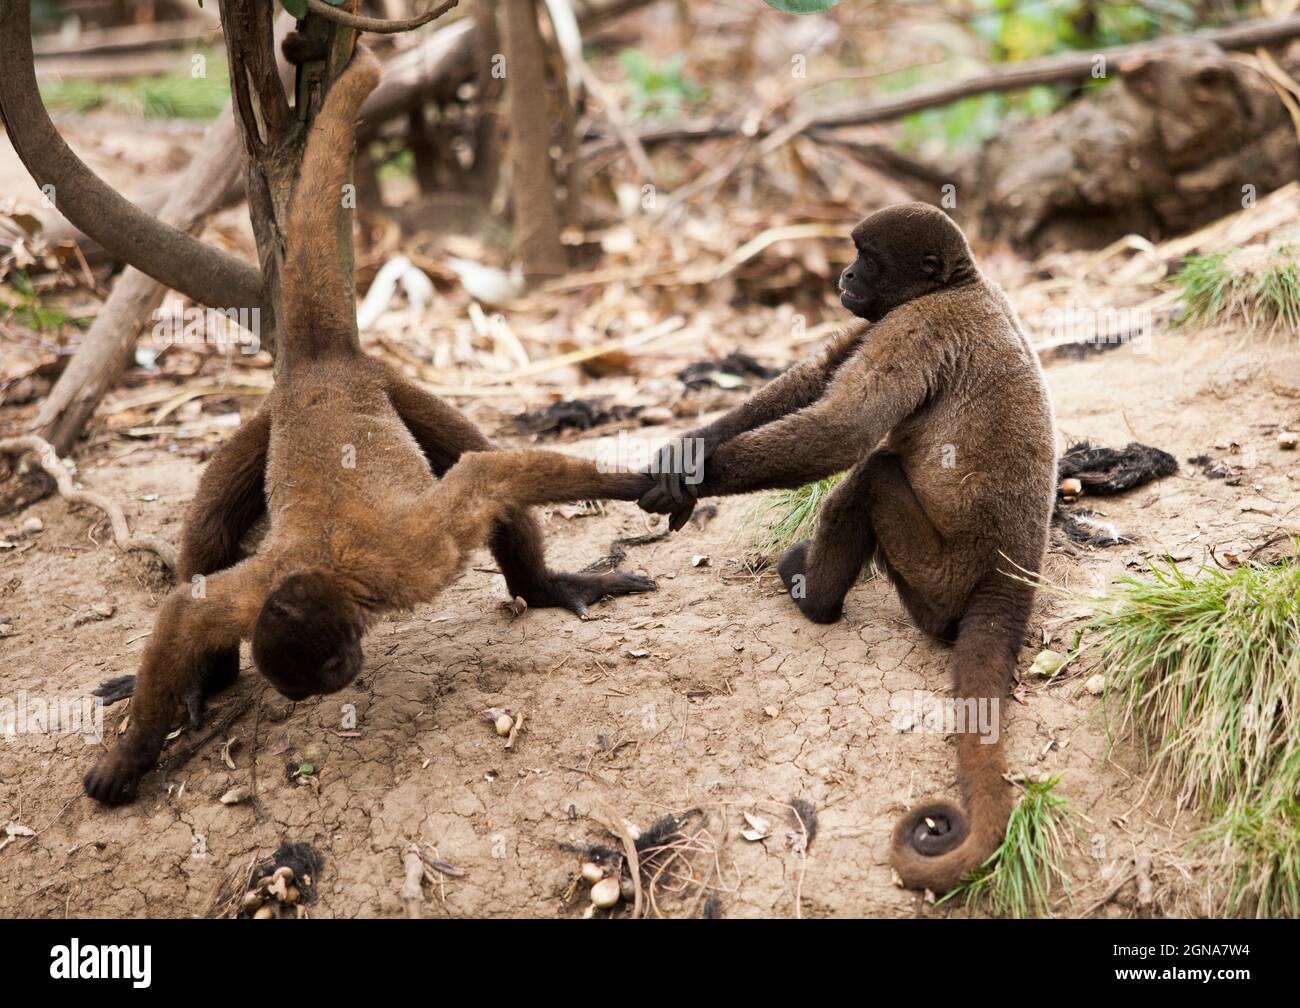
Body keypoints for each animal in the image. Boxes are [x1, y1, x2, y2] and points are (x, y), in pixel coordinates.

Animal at [83, 43, 650, 806]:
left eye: (325, 670)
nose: (335, 680)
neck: (333, 574)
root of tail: (322, 361)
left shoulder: (415, 558)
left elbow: (485, 476)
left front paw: (659, 481)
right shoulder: (257, 596)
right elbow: (187, 610)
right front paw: (130, 756)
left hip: (388, 382)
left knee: (469, 450)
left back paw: (542, 588)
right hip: (271, 415)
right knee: (208, 528)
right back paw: (210, 682)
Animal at [639, 202, 1055, 889]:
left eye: (868, 256)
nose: (845, 274)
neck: (956, 285)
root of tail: (1012, 573)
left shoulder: (913, 325)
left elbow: (842, 429)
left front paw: (694, 479)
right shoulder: (878, 318)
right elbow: (813, 376)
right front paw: (688, 450)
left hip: (935, 574)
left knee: (874, 472)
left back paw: (814, 597)